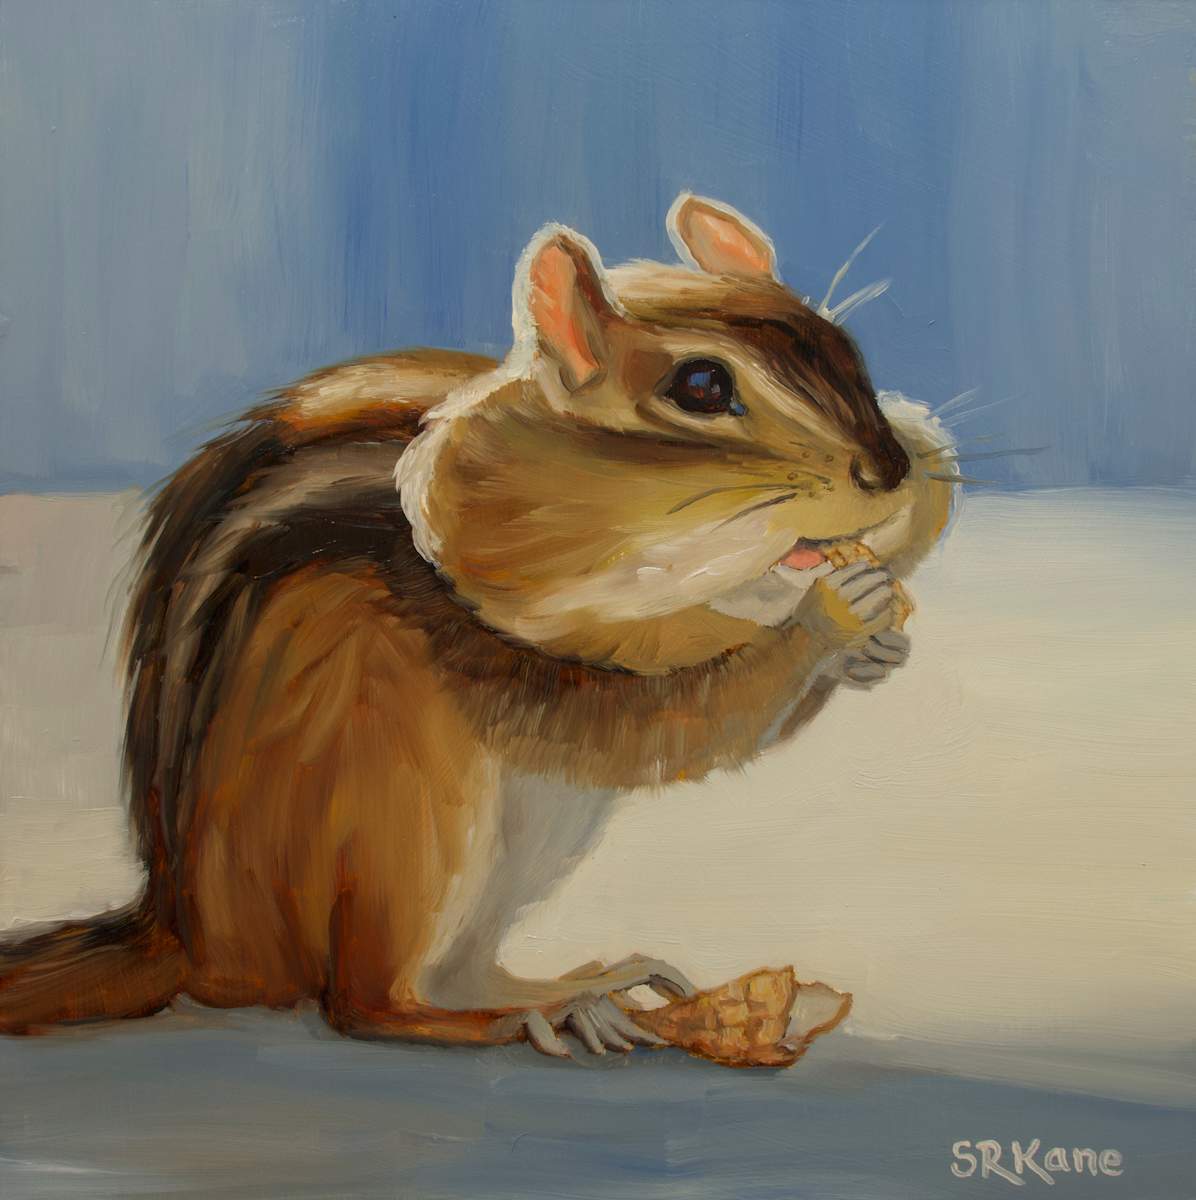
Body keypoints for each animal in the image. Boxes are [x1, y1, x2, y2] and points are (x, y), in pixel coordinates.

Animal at [0, 194, 955, 1058]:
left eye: (847, 350)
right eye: (701, 386)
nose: (892, 466)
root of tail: (193, 938)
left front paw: (880, 640)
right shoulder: (507, 659)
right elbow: (669, 719)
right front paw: (831, 619)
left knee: (452, 969)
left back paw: (582, 985)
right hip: (401, 805)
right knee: (368, 1000)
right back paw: (530, 1016)